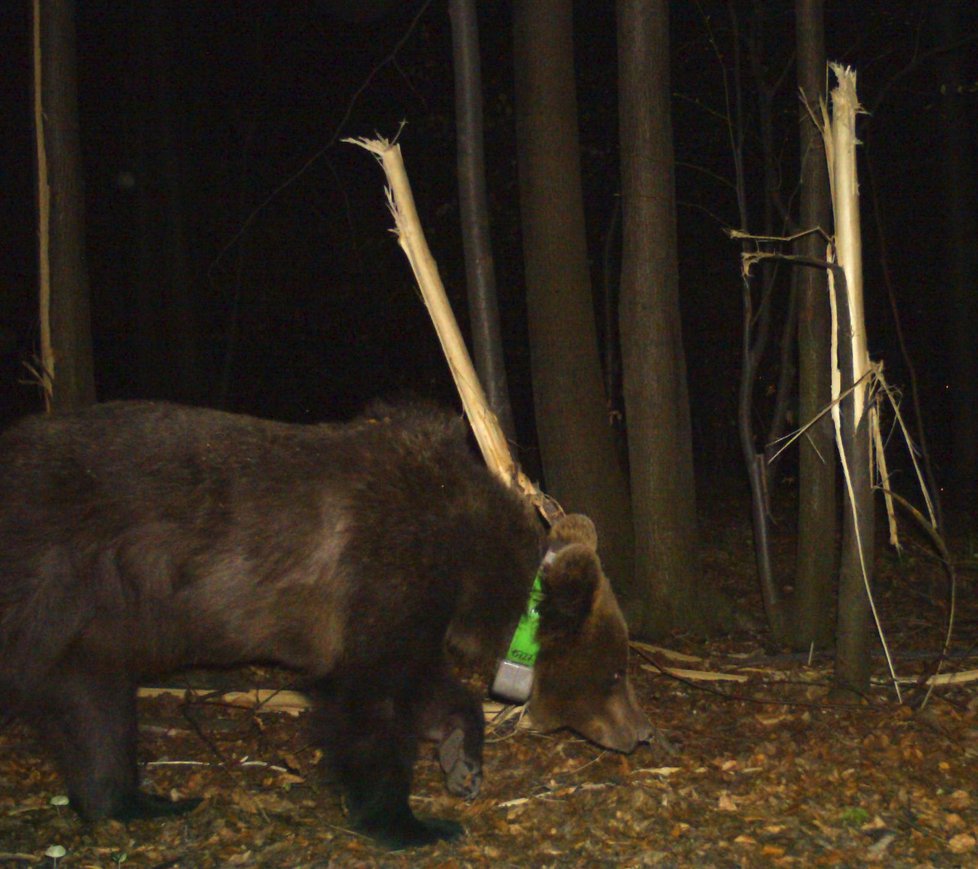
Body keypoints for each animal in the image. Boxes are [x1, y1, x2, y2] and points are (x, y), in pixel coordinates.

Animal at [0, 402, 652, 848]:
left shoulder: (413, 610)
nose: (641, 733)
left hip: (89, 619)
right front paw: (407, 822)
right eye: (616, 674)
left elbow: (425, 685)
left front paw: (461, 762)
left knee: (95, 706)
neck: (472, 564)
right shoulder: (386, 567)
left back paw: (140, 800)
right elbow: (370, 698)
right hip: (46, 579)